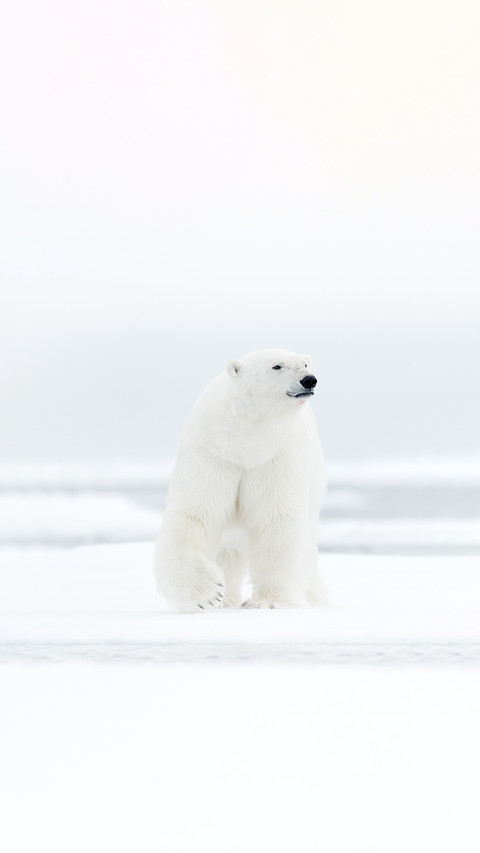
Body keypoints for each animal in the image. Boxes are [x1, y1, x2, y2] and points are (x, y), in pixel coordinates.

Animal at [154, 349, 326, 612]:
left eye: (305, 364)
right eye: (277, 366)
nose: (309, 380)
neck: (246, 441)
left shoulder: (275, 456)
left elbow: (277, 519)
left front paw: (267, 601)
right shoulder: (214, 454)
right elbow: (193, 515)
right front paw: (209, 594)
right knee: (229, 549)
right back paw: (227, 599)